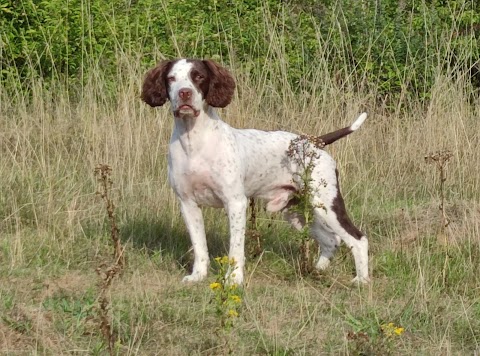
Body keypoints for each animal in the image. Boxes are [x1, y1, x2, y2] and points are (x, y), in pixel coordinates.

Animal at [141, 59, 370, 286]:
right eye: (171, 78)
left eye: (199, 76)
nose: (184, 93)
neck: (194, 142)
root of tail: (315, 143)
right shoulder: (188, 204)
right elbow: (199, 247)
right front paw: (198, 276)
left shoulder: (235, 203)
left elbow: (235, 250)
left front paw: (233, 280)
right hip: (295, 210)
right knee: (331, 240)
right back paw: (317, 271)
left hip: (326, 203)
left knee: (358, 239)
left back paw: (361, 280)